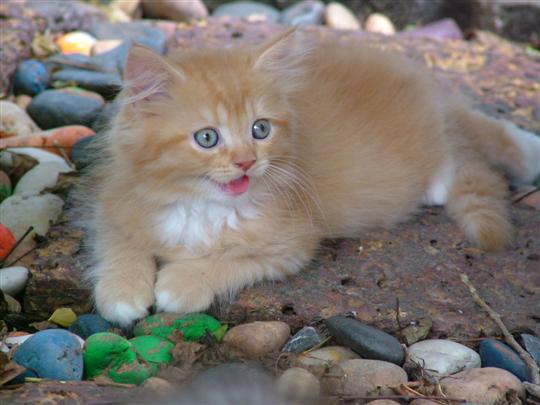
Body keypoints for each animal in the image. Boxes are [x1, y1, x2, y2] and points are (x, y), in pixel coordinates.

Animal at [88, 29, 540, 326]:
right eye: (207, 137)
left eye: (260, 129)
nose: (246, 163)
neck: (202, 207)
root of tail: (424, 85)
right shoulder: (115, 201)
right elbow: (118, 244)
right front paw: (122, 291)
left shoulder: (291, 244)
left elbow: (226, 260)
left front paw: (180, 284)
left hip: (436, 140)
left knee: (472, 141)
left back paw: (519, 150)